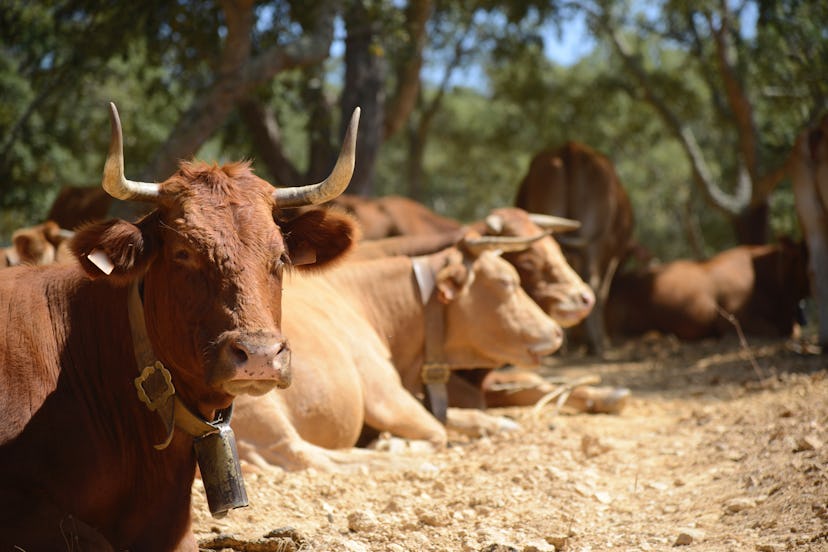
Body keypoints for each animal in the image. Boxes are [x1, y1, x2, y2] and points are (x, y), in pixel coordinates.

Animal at [231, 235, 564, 472]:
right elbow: (437, 430)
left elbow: (446, 416)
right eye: (507, 282)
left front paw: (497, 423)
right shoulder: (384, 393)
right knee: (306, 456)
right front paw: (395, 446)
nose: (557, 331)